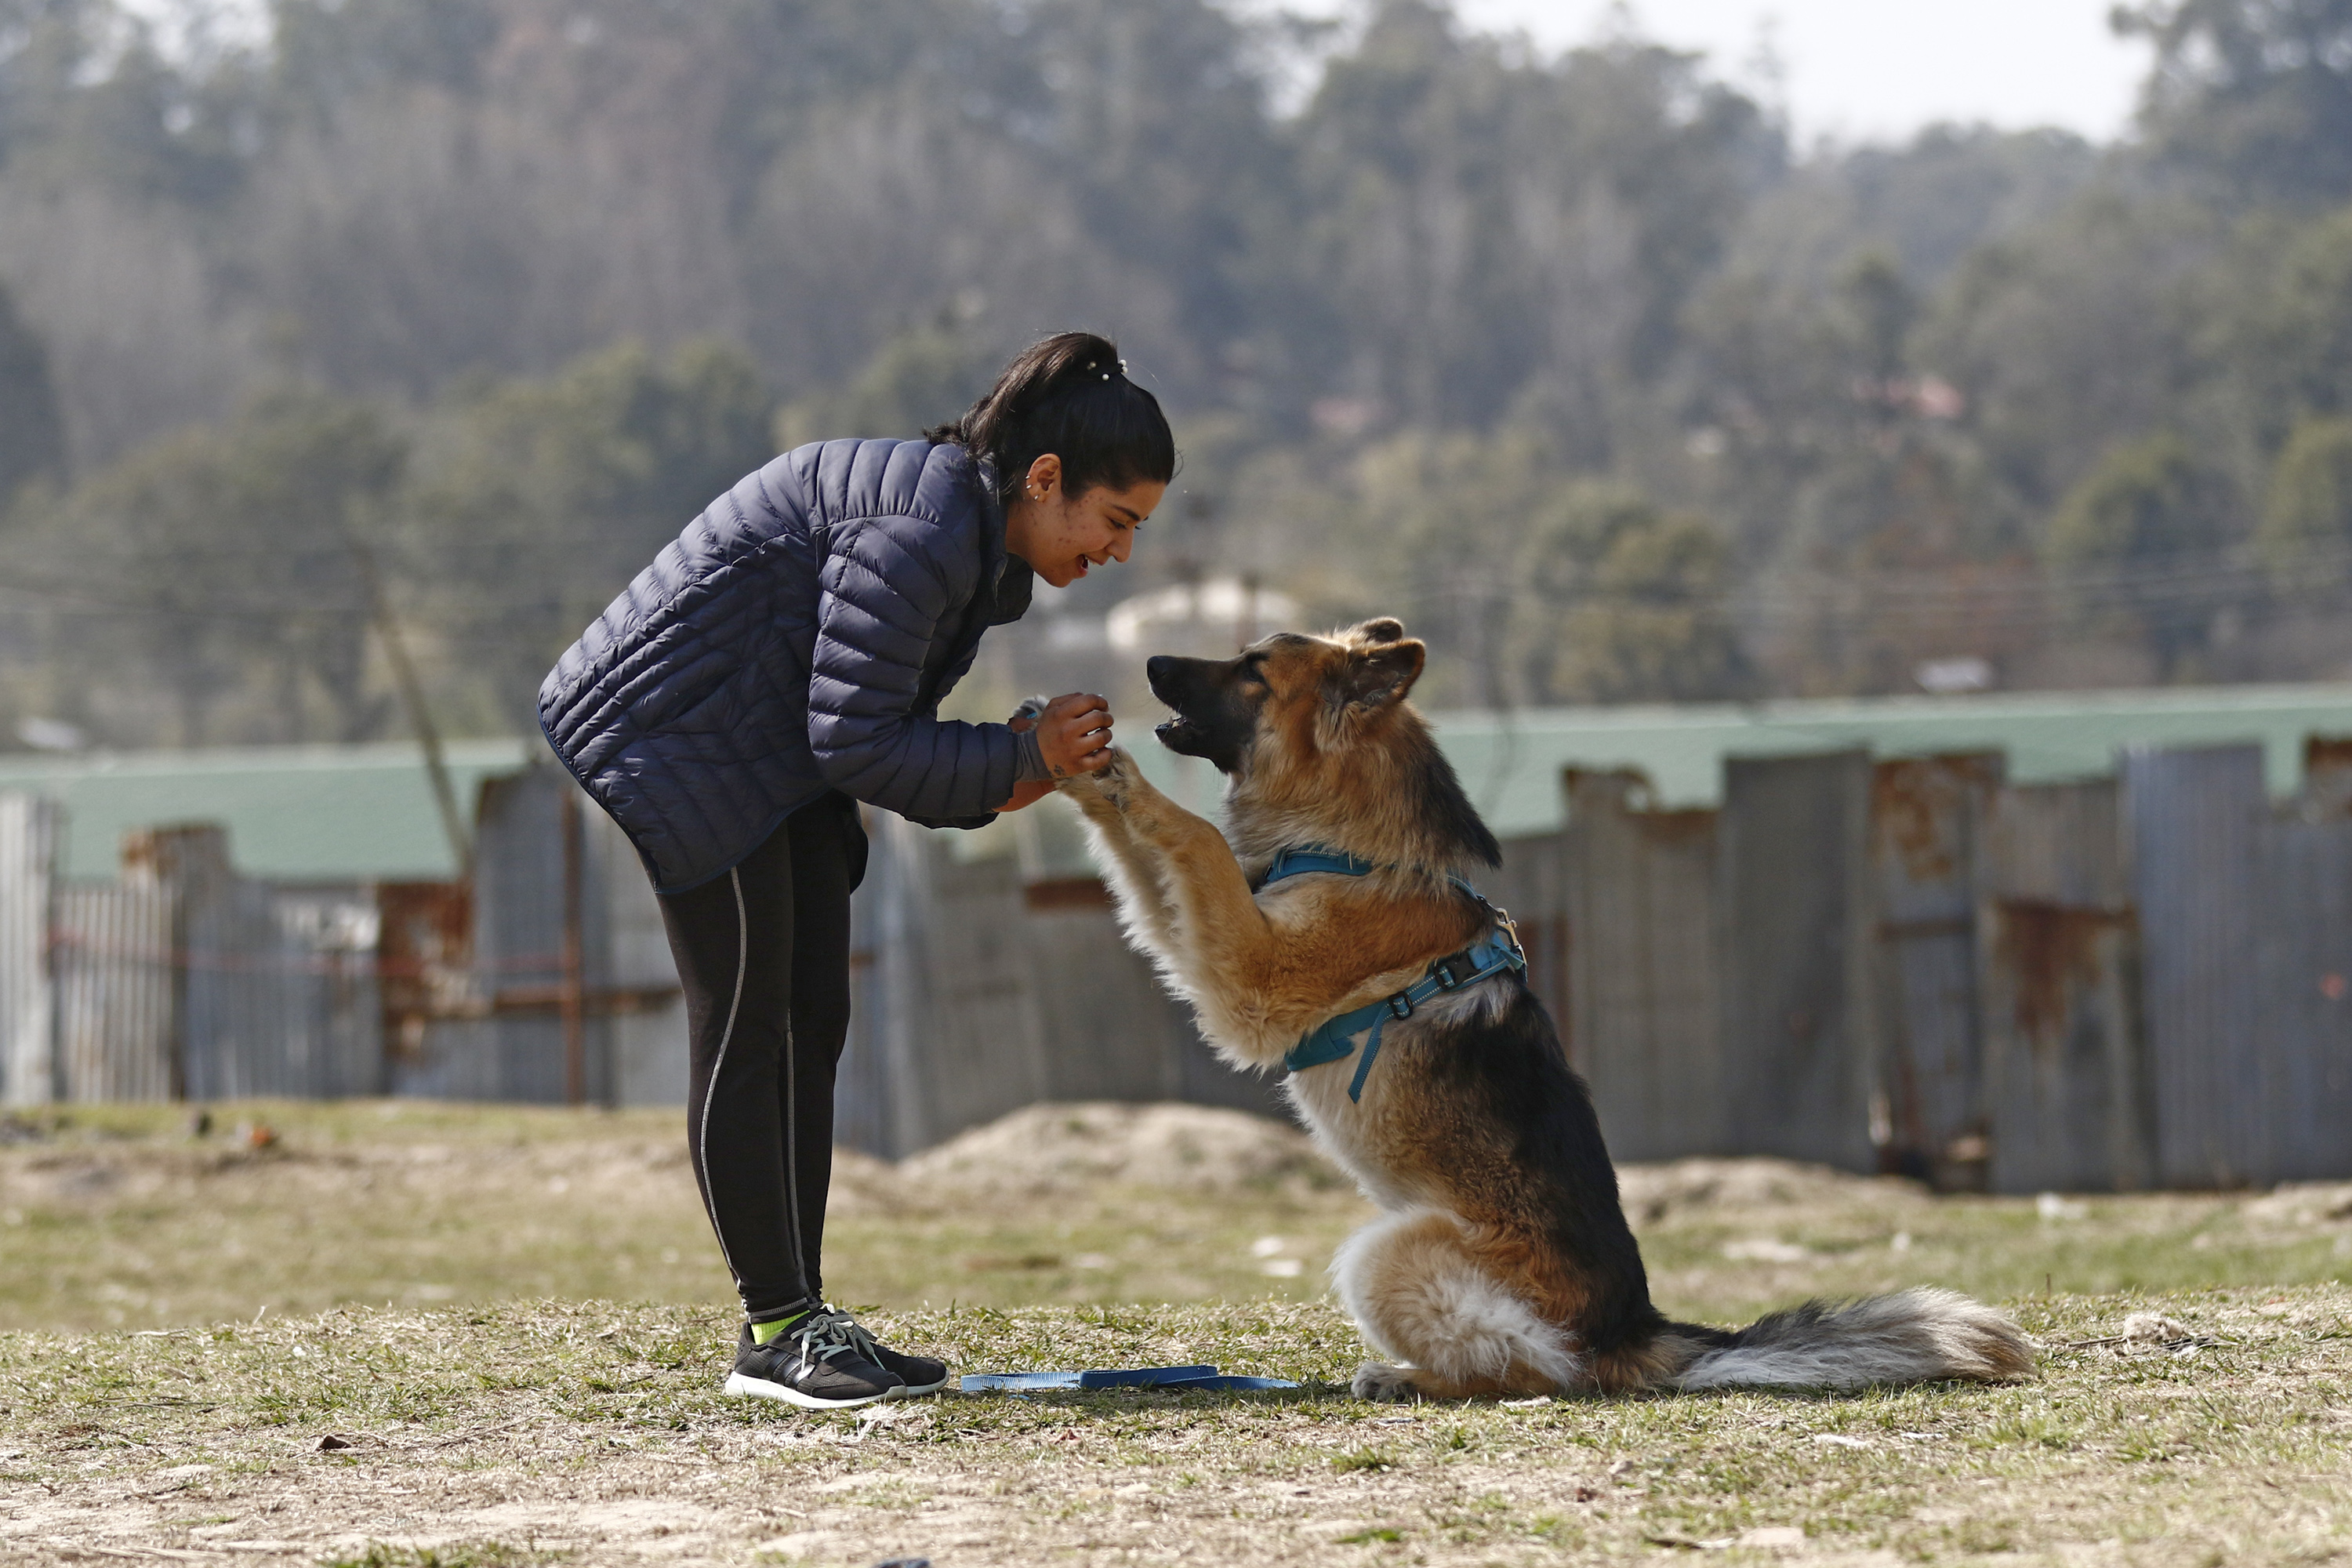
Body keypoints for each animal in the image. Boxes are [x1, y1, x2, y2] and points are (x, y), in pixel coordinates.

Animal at [1058, 620, 2032, 1401]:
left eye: (1254, 668)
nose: (1150, 661)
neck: (1353, 845)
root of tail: (1633, 1330)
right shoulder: (1206, 939)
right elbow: (1152, 864)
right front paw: (1083, 772)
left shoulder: (1252, 977)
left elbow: (1197, 835)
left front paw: (1131, 780)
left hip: (1392, 1250)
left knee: (1530, 1371)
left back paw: (1413, 1377)